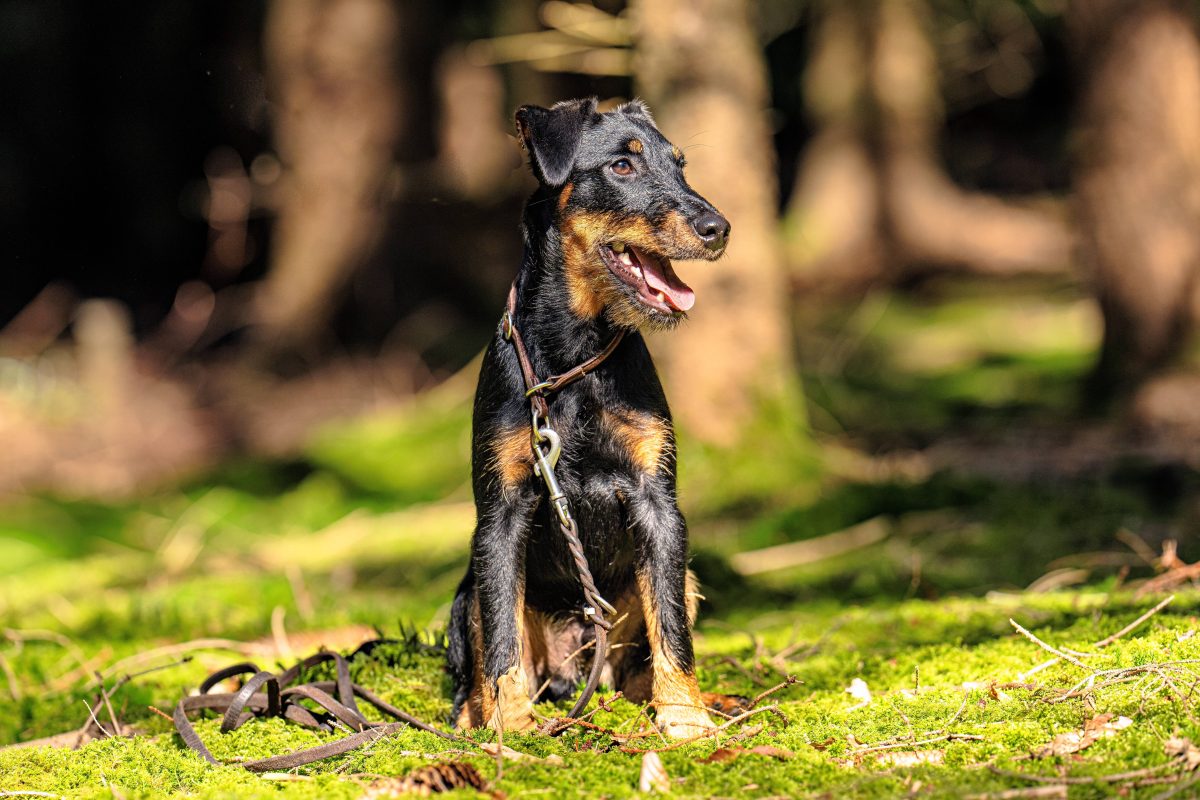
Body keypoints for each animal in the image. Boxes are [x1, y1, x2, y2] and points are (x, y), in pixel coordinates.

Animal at [448, 97, 729, 743]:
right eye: (622, 165)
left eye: (680, 164)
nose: (718, 228)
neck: (574, 355)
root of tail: (575, 673)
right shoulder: (500, 514)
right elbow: (500, 638)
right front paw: (509, 727)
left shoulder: (658, 504)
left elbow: (671, 628)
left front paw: (685, 718)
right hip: (464, 594)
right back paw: (474, 715)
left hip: (679, 584)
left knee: (641, 656)